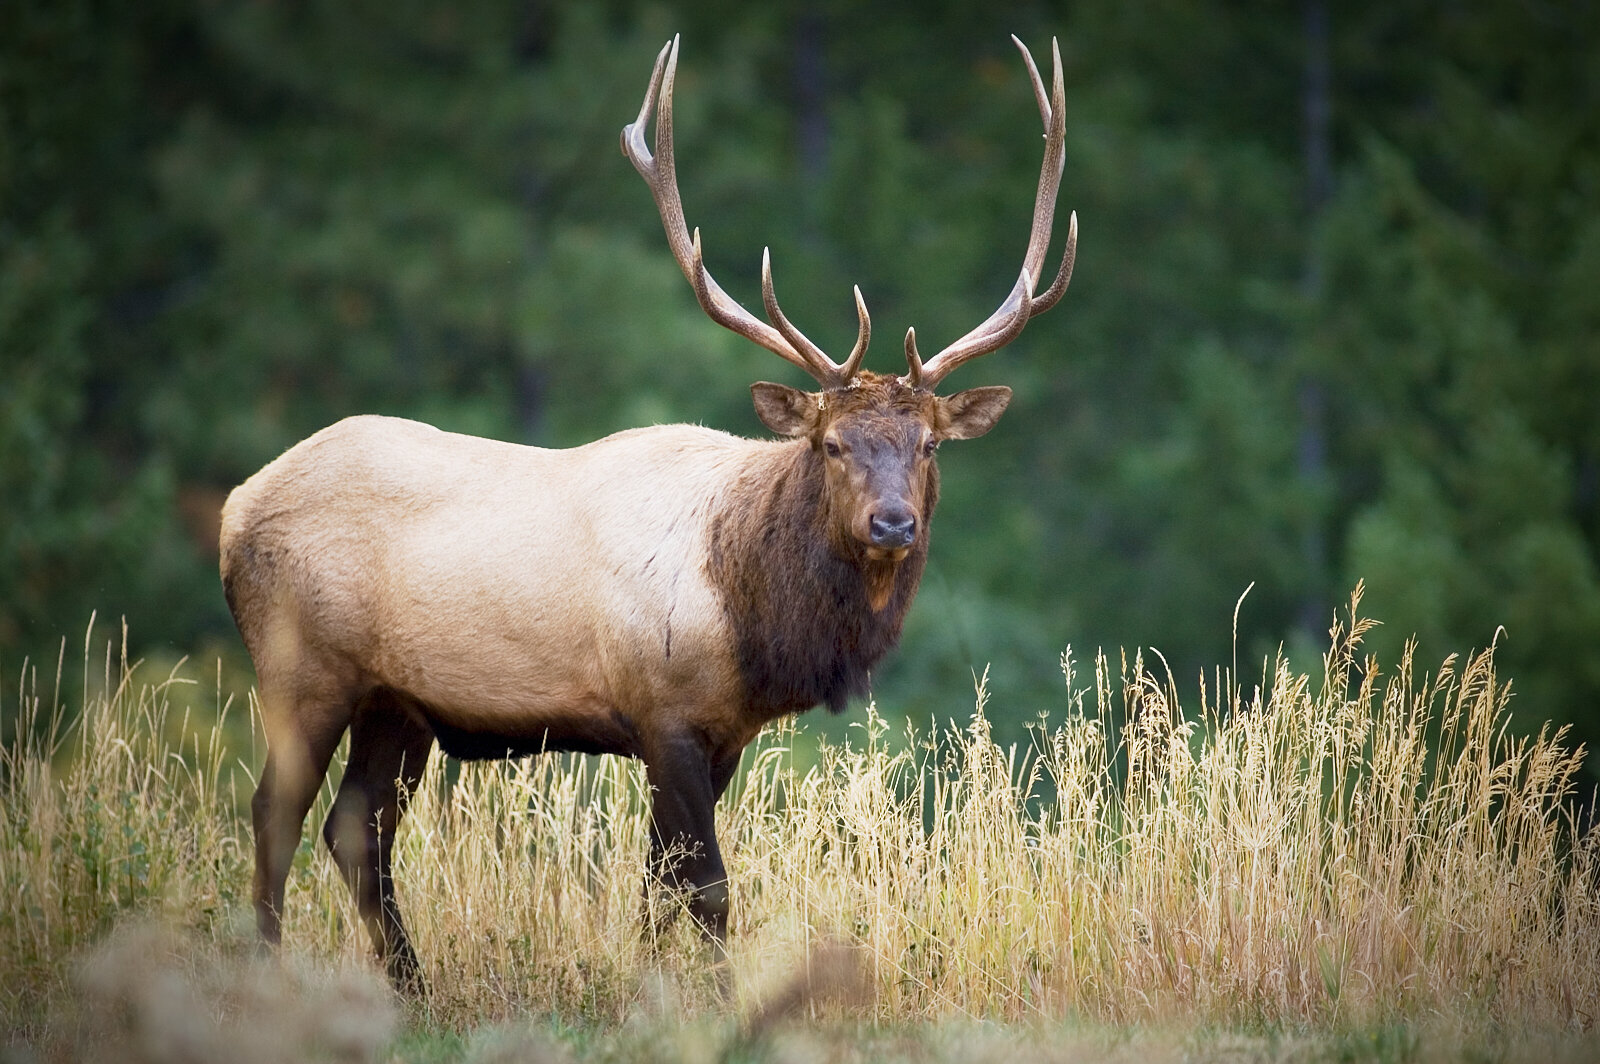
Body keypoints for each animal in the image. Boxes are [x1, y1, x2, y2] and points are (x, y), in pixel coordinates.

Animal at [219, 34, 1075, 993]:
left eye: (928, 445)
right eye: (832, 444)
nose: (893, 525)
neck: (752, 618)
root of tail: (235, 508)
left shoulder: (722, 734)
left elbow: (655, 883)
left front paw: (651, 991)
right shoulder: (660, 708)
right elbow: (704, 887)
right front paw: (716, 1000)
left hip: (396, 698)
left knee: (356, 828)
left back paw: (411, 988)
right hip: (302, 663)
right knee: (275, 814)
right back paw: (269, 975)